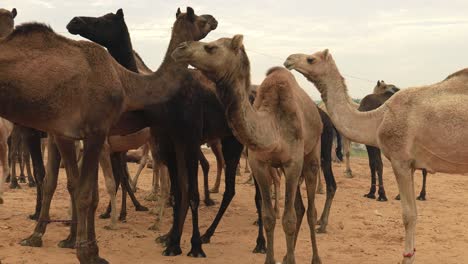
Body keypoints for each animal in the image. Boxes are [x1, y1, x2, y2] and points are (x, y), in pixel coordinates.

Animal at [172, 34, 322, 264]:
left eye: (211, 47)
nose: (179, 48)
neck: (273, 128)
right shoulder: (259, 163)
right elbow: (269, 217)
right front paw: (270, 258)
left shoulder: (293, 163)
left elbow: (287, 220)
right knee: (300, 207)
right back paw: (286, 256)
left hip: (311, 156)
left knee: (311, 209)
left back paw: (315, 258)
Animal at [284, 49, 468, 264]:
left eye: (310, 59)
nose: (288, 59)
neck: (378, 119)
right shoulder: (411, 164)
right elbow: (413, 211)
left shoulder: (400, 160)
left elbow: (408, 215)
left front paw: (406, 258)